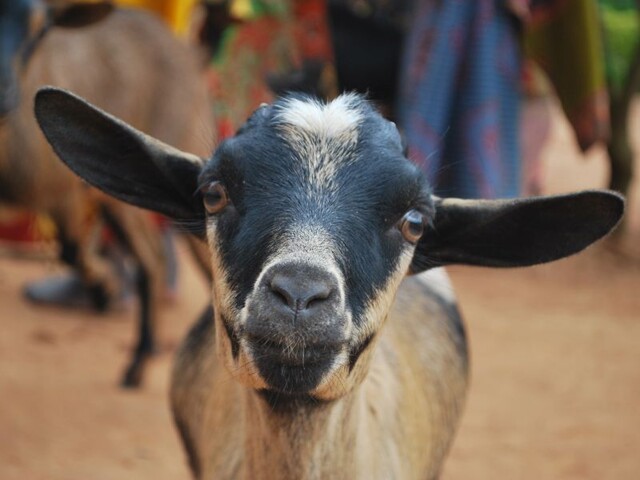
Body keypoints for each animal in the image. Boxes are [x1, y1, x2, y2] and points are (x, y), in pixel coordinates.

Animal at [0, 0, 214, 386]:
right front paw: (104, 290)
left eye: (40, 28)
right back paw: (141, 358)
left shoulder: (62, 192)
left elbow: (71, 249)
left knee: (171, 258)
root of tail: (190, 52)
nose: (2, 96)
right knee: (152, 257)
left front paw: (105, 288)